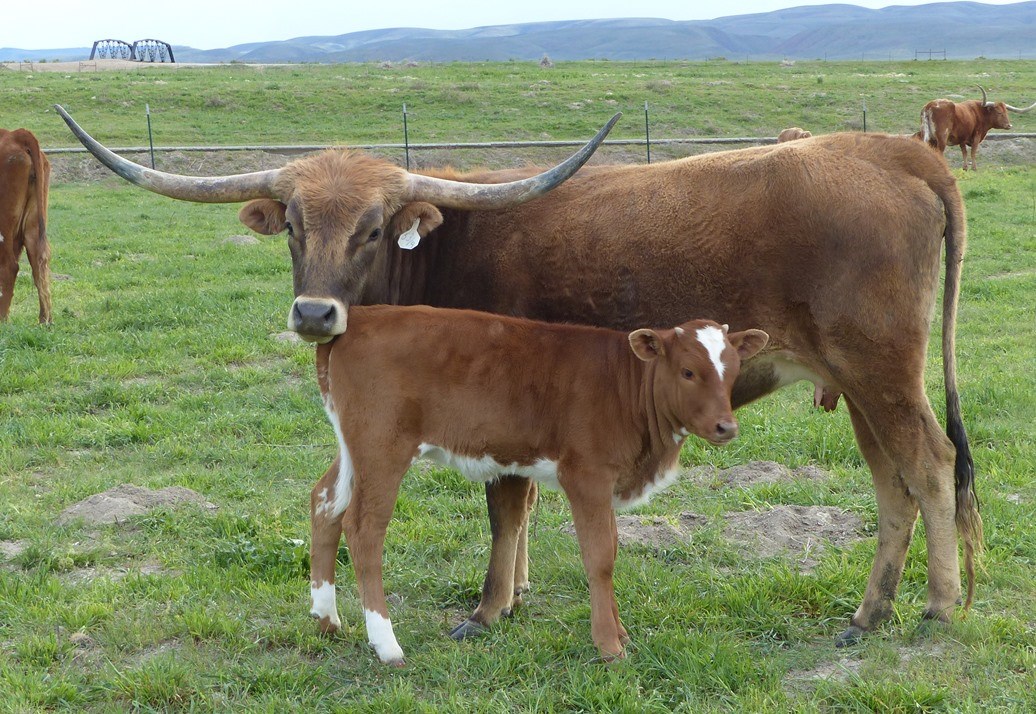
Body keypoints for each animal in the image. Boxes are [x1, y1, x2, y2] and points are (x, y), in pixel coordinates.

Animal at [311, 304, 768, 663]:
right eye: (688, 371)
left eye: (733, 372)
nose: (726, 427)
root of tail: (364, 316)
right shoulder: (586, 476)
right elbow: (600, 557)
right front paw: (609, 645)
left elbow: (607, 552)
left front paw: (619, 632)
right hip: (382, 447)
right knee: (364, 528)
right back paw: (386, 645)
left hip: (354, 449)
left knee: (324, 503)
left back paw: (326, 619)